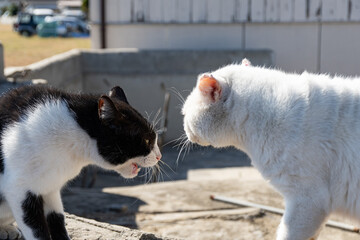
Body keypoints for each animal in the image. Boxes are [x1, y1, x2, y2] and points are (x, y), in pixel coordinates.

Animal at [0, 85, 162, 239]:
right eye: (147, 140)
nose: (159, 156)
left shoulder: (50, 186)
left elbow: (57, 220)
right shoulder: (20, 190)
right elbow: (37, 231)